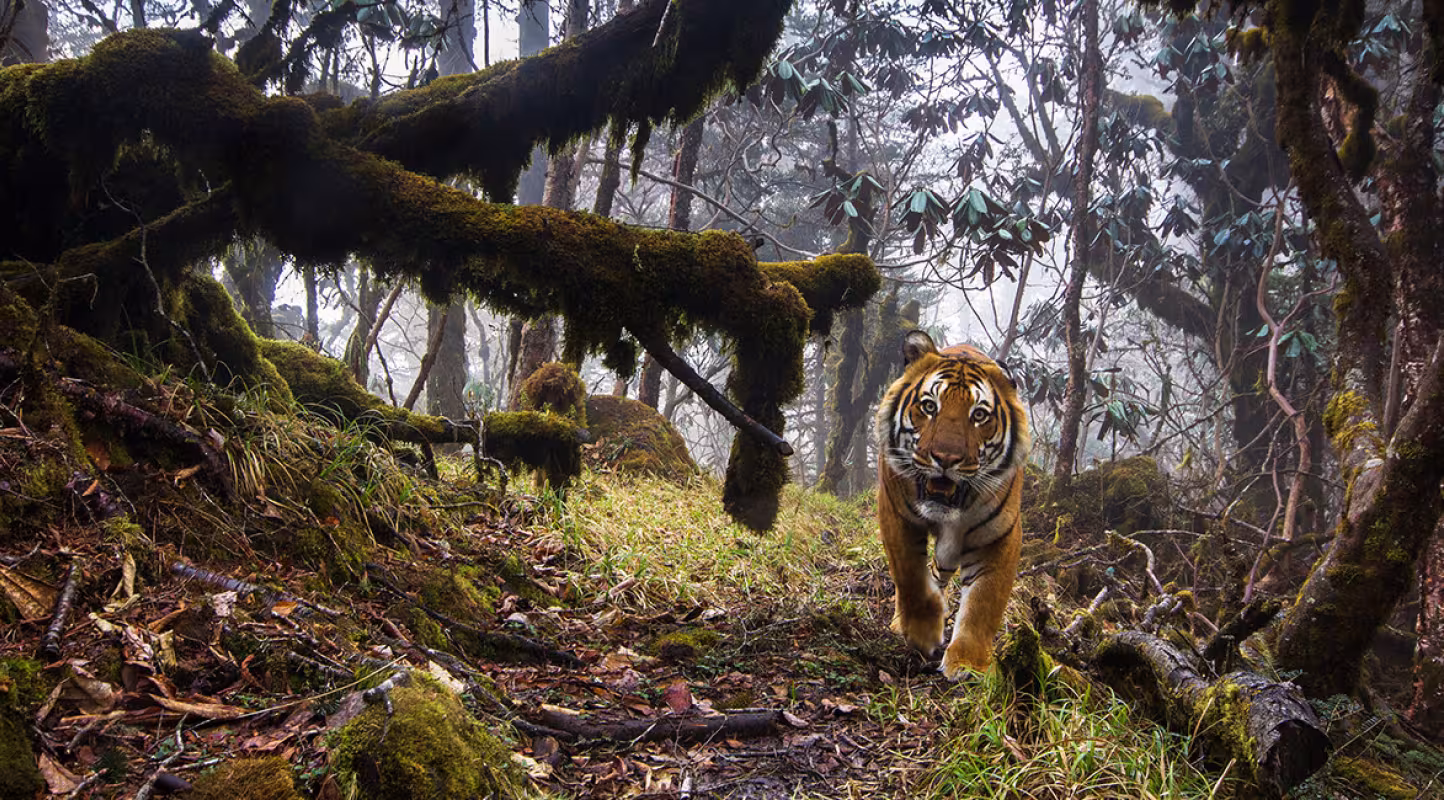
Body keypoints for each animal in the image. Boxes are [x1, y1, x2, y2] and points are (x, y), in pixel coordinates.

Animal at [874, 329, 1030, 679]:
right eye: (929, 406)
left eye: (979, 415)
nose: (945, 458)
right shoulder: (896, 513)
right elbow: (910, 577)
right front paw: (922, 632)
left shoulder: (1000, 535)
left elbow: (985, 601)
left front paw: (968, 663)